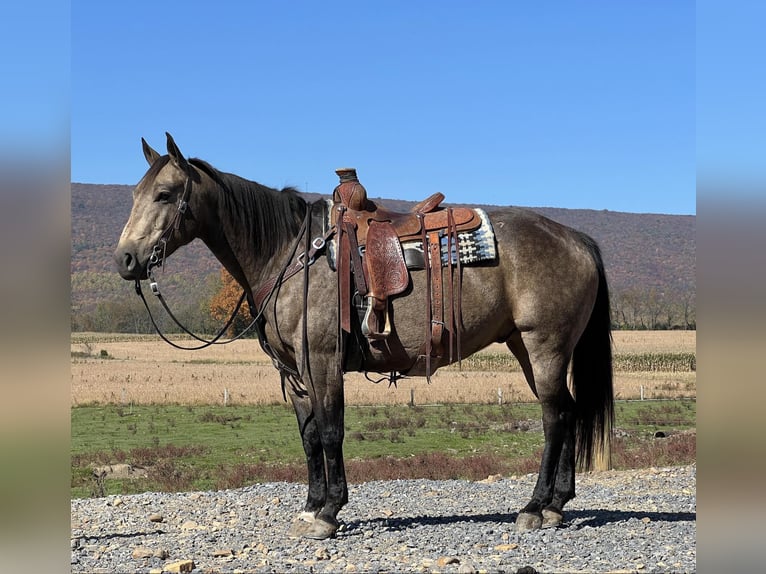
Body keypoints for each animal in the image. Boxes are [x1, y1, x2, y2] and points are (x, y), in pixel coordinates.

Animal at [114, 133, 616, 544]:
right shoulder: (293, 372)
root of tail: (579, 239)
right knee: (568, 412)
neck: (288, 254)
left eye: (164, 194)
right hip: (526, 348)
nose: (125, 260)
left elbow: (331, 429)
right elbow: (309, 436)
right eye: (136, 194)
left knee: (554, 418)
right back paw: (556, 506)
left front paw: (329, 513)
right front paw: (310, 507)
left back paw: (534, 507)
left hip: (544, 347)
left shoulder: (322, 360)